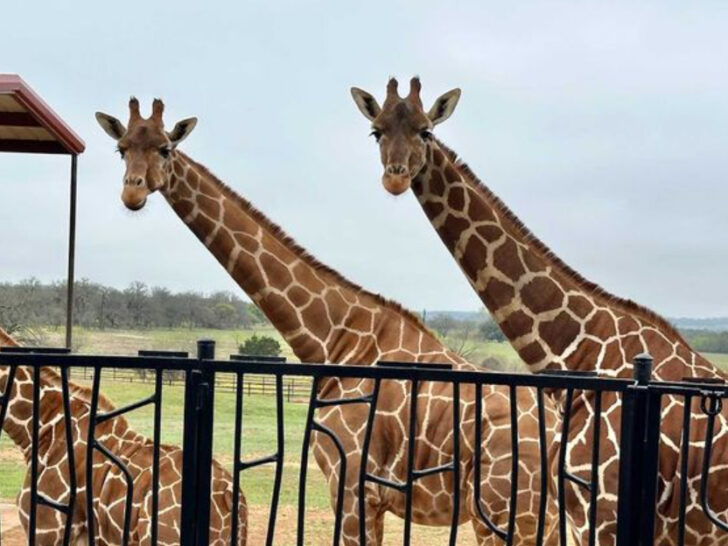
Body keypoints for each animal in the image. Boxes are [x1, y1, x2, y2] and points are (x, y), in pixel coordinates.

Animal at [95, 98, 562, 545]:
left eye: (165, 148)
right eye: (122, 149)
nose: (132, 194)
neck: (334, 335)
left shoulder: (353, 485)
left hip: (502, 513)